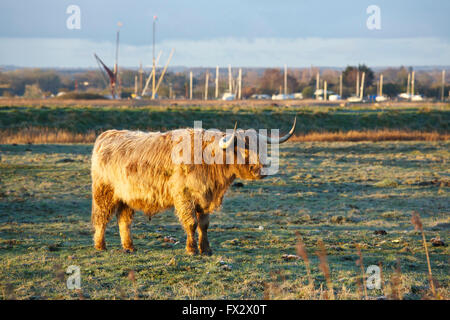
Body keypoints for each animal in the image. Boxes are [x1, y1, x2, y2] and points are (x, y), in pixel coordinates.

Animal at [90, 119, 296, 256]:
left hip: (126, 196)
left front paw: (206, 249)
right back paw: (100, 245)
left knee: (124, 220)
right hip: (104, 192)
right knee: (101, 217)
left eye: (262, 148)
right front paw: (191, 249)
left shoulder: (205, 197)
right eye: (243, 149)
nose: (260, 170)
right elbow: (191, 223)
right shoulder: (184, 196)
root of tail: (106, 135)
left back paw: (129, 246)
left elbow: (204, 225)